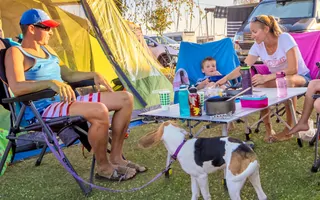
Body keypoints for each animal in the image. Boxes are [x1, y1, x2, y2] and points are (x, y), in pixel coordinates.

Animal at [140, 121, 268, 200]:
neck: (180, 145)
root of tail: (246, 148)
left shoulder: (202, 177)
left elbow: (206, 195)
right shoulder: (194, 177)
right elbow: (195, 194)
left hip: (233, 185)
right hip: (253, 176)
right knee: (262, 196)